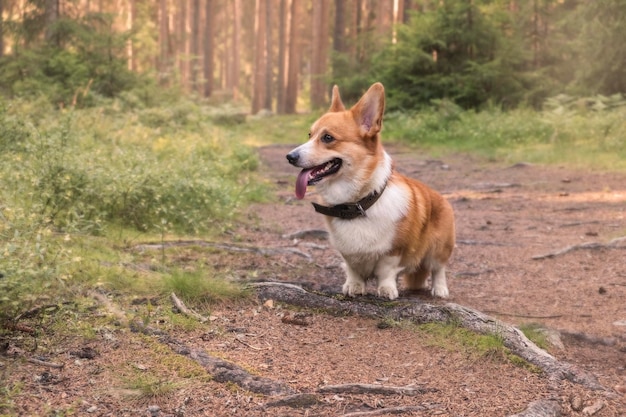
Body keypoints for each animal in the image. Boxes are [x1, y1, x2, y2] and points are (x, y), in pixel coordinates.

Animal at [284, 83, 454, 298]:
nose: (290, 157)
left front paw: (387, 289)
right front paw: (354, 286)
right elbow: (352, 269)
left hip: (438, 249)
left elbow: (386, 271)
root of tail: (441, 197)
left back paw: (440, 289)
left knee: (438, 269)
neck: (357, 203)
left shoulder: (394, 250)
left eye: (327, 138)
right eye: (309, 135)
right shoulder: (346, 252)